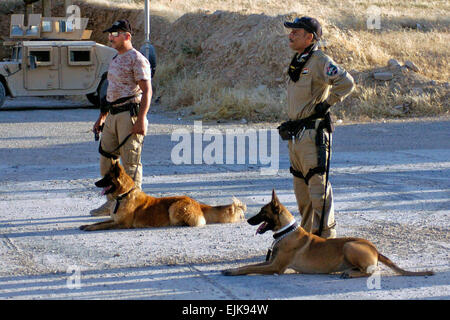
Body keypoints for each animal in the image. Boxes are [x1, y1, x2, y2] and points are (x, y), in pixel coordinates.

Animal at [81, 161, 246, 231]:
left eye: (106, 178)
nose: (95, 183)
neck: (124, 195)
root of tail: (197, 203)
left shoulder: (122, 224)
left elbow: (103, 225)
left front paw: (90, 228)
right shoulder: (115, 219)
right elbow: (101, 222)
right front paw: (86, 225)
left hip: (174, 207)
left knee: (196, 223)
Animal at [223, 190, 434, 278]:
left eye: (262, 212)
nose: (247, 220)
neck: (286, 232)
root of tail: (375, 248)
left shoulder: (276, 267)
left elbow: (249, 268)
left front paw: (233, 272)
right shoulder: (271, 262)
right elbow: (249, 265)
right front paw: (231, 269)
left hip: (350, 245)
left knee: (373, 271)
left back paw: (350, 274)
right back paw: (349, 271)